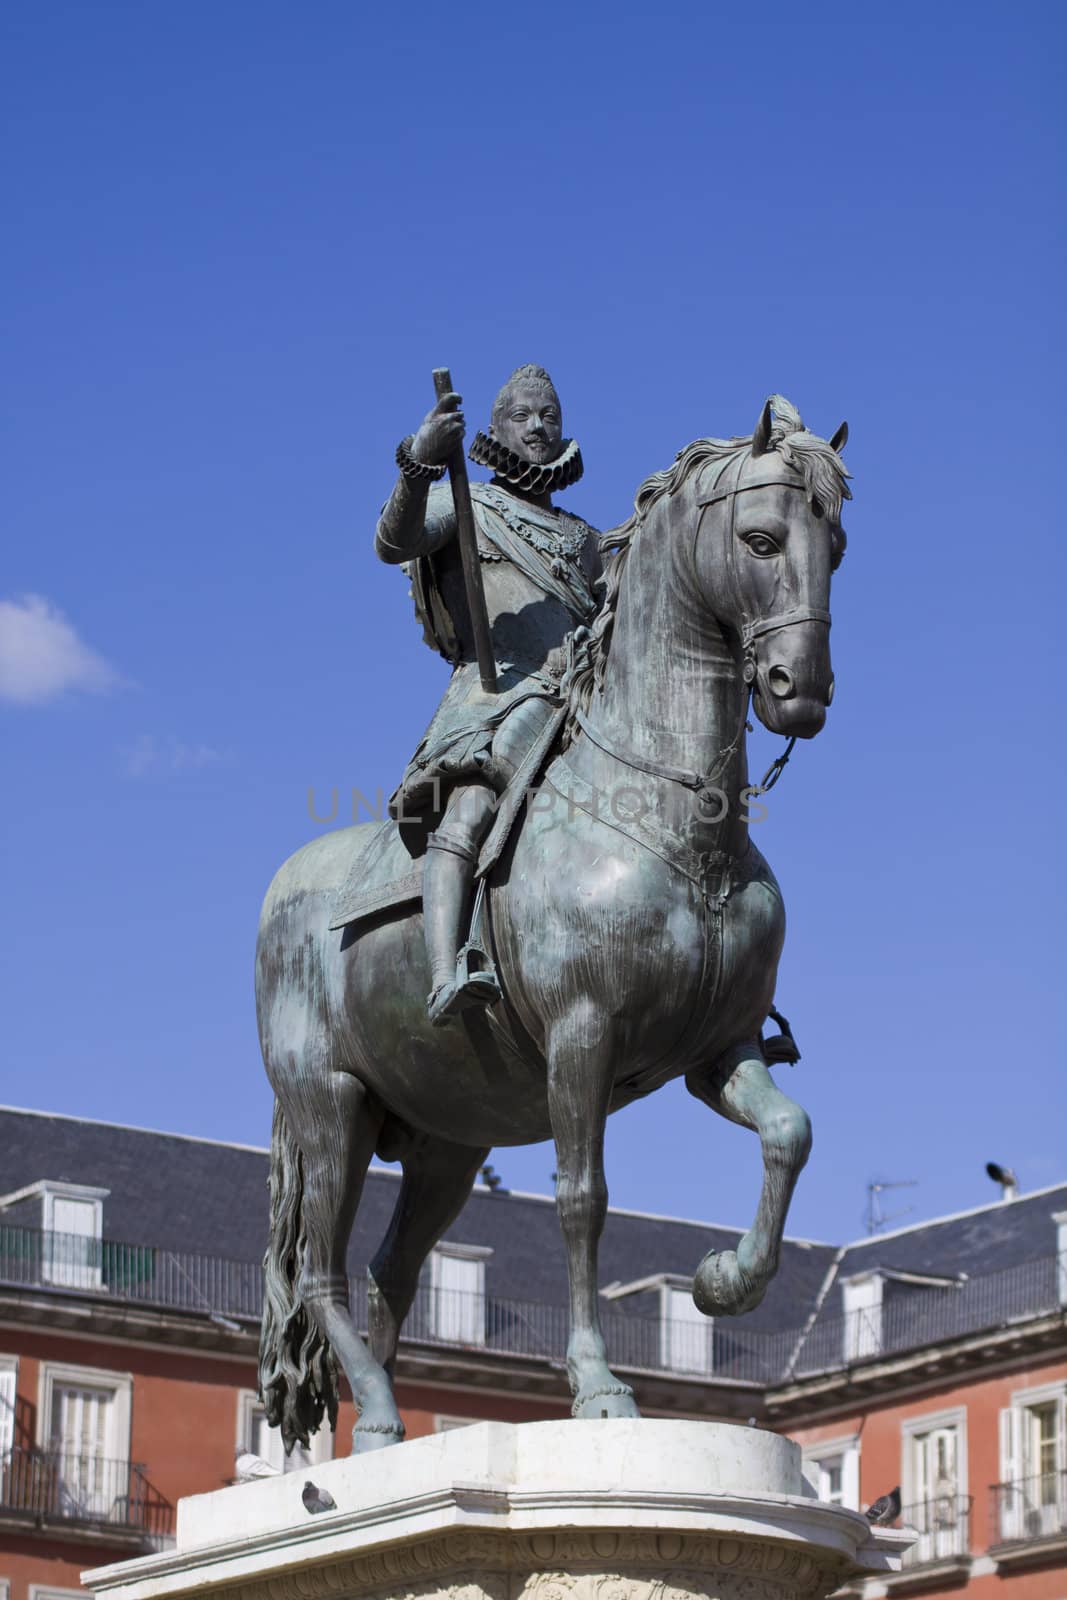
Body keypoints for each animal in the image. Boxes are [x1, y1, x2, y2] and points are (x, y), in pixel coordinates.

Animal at [255, 393, 851, 1459]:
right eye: (759, 538)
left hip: (446, 1140)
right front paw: (597, 1385)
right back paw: (378, 1418)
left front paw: (724, 1284)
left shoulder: (719, 1049)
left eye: (840, 545)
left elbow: (790, 1133)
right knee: (321, 1275)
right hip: (330, 1109)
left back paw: (380, 1435)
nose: (801, 689)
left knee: (387, 1270)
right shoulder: (583, 1033)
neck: (682, 821)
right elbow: (582, 1202)